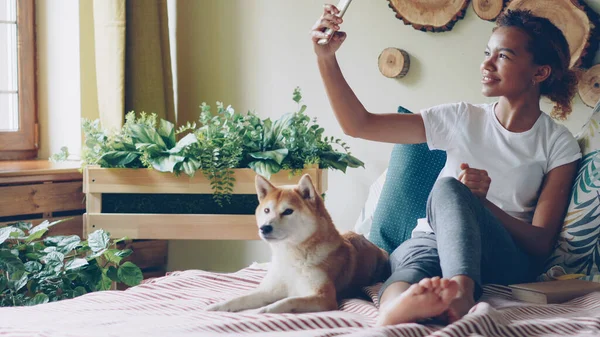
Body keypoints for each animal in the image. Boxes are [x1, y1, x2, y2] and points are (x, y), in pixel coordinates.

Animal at [206, 173, 392, 312]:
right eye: (266, 210)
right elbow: (242, 298)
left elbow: (287, 301)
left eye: (288, 211)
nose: (264, 228)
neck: (291, 257)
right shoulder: (269, 290)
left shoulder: (324, 297)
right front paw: (219, 306)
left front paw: (263, 311)